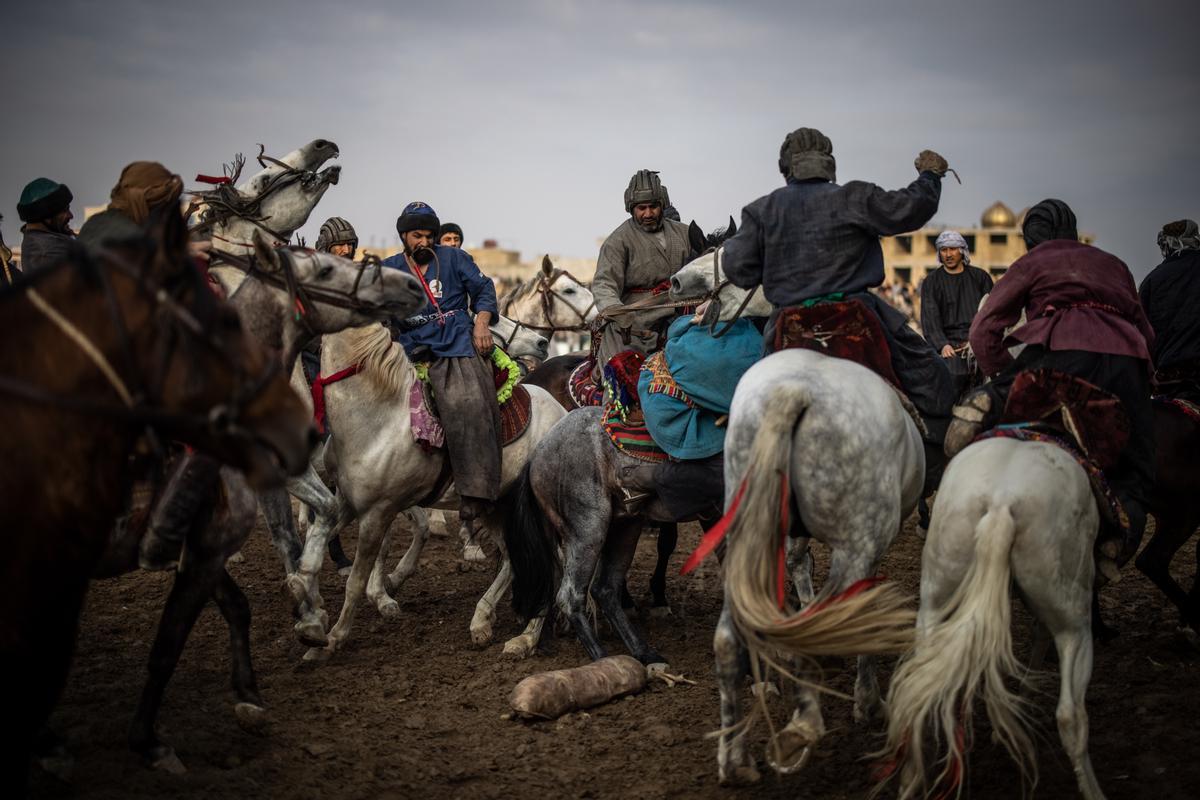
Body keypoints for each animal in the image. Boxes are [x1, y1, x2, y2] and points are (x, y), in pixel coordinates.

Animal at [0, 206, 314, 786]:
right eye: (226, 321)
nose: (298, 431)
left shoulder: (195, 545)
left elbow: (231, 609)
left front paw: (249, 692)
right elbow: (168, 645)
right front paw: (149, 742)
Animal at [283, 321, 564, 662]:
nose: (542, 342)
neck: (378, 414)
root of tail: (562, 413)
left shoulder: (378, 511)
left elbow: (357, 579)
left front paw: (334, 636)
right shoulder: (347, 501)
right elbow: (316, 540)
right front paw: (306, 606)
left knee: (547, 565)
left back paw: (525, 639)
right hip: (498, 509)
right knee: (514, 559)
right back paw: (482, 620)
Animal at [672, 253, 921, 786]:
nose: (678, 283)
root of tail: (794, 391)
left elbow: (798, 568)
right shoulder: (867, 546)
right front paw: (867, 703)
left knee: (729, 638)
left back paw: (735, 757)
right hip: (857, 543)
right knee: (827, 617)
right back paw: (805, 724)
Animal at [883, 438, 1104, 800]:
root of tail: (1002, 502)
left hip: (934, 599)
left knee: (921, 687)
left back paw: (911, 779)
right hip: (1073, 623)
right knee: (1071, 715)